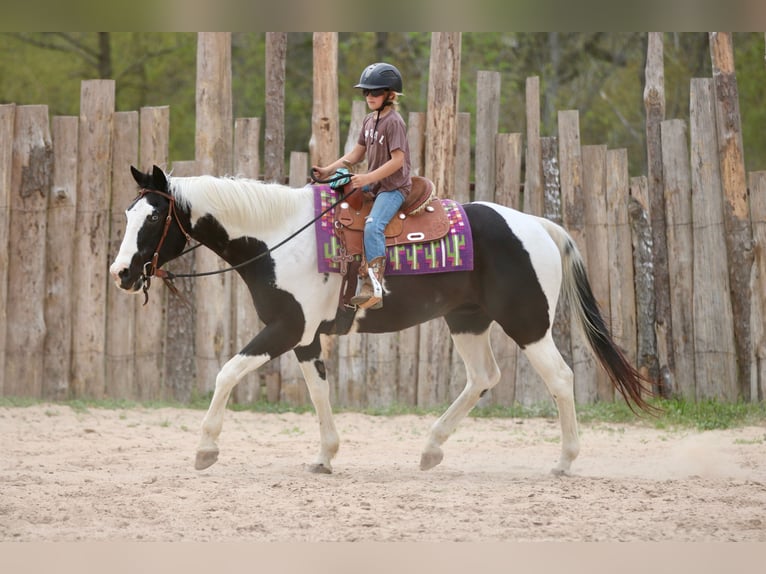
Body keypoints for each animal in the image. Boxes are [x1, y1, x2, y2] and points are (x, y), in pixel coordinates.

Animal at [110, 165, 652, 476]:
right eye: (129, 213)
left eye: (154, 218)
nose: (121, 273)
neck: (277, 237)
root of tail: (536, 225)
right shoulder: (305, 338)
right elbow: (318, 390)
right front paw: (325, 456)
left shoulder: (285, 329)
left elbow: (227, 373)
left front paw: (205, 450)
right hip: (467, 321)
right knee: (482, 377)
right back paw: (431, 450)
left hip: (528, 324)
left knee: (560, 378)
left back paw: (564, 461)